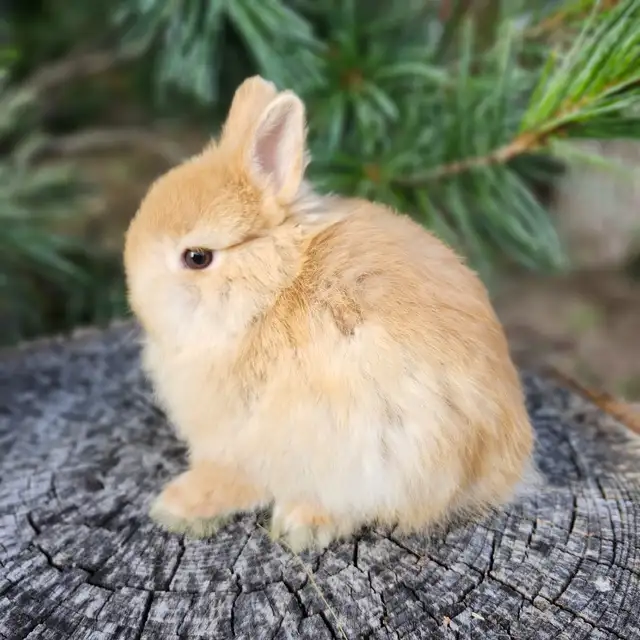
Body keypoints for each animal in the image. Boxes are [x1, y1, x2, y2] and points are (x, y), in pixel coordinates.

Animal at [123, 75, 535, 552]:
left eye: (197, 257)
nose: (135, 296)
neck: (270, 291)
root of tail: (507, 466)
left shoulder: (249, 439)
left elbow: (239, 477)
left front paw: (179, 506)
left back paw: (301, 523)